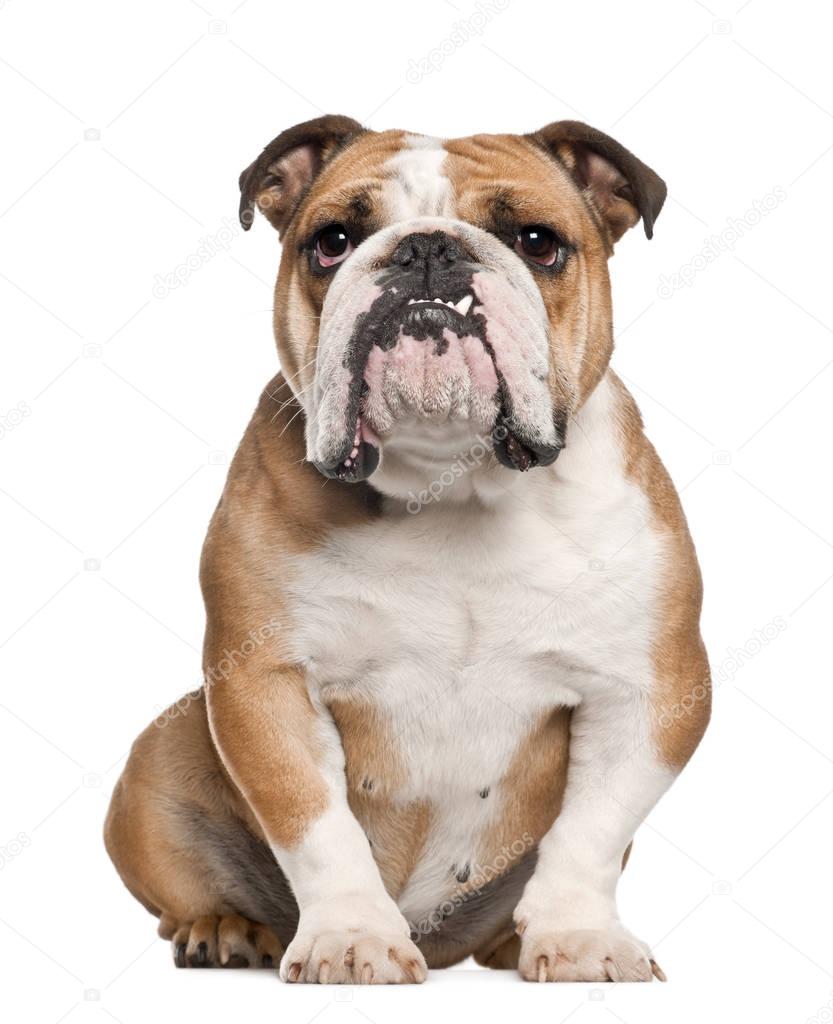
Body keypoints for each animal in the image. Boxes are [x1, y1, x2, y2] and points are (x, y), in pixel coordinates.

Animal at [105, 114, 709, 983]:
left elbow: (589, 831)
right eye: (332, 241)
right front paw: (351, 936)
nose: (426, 250)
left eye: (536, 242)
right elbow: (314, 823)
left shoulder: (651, 689)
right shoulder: (263, 679)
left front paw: (580, 937)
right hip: (158, 755)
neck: (452, 487)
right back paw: (223, 927)